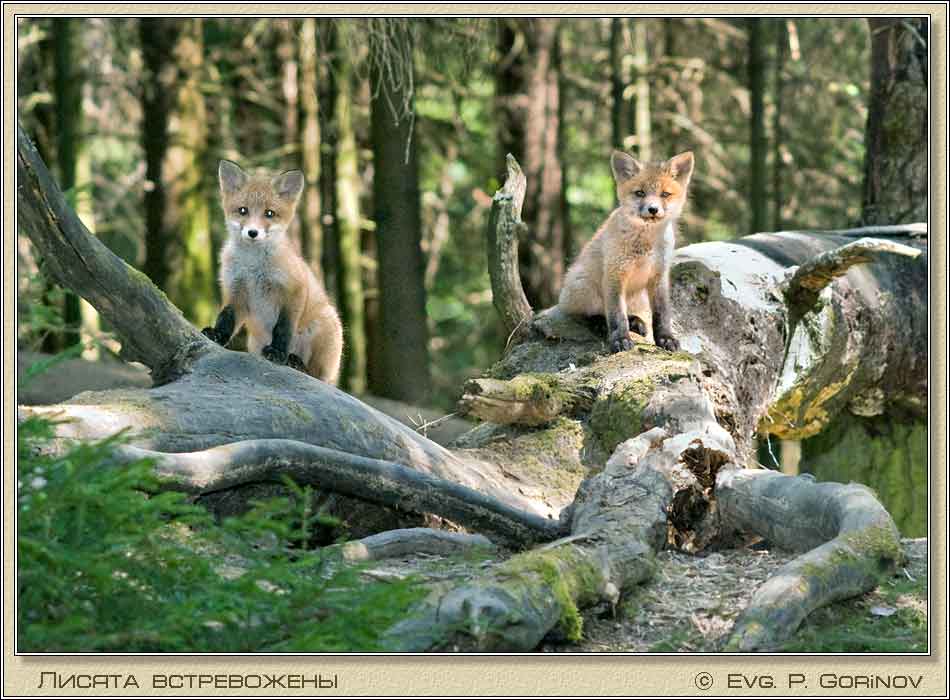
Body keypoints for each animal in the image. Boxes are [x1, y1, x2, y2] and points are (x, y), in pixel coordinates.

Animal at [201, 160, 344, 385]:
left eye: (269, 213)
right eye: (243, 210)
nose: (252, 232)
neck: (253, 266)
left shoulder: (294, 290)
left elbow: (283, 329)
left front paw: (277, 352)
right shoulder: (236, 290)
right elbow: (226, 318)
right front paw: (217, 335)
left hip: (325, 331)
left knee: (317, 376)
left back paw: (296, 362)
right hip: (254, 341)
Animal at [558, 149, 694, 353]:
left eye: (665, 194)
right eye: (640, 193)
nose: (653, 209)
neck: (646, 246)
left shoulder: (659, 275)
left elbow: (662, 314)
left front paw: (665, 338)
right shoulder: (616, 274)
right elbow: (616, 316)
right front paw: (620, 340)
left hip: (639, 296)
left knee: (629, 312)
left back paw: (636, 322)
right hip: (584, 286)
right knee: (585, 313)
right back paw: (599, 323)